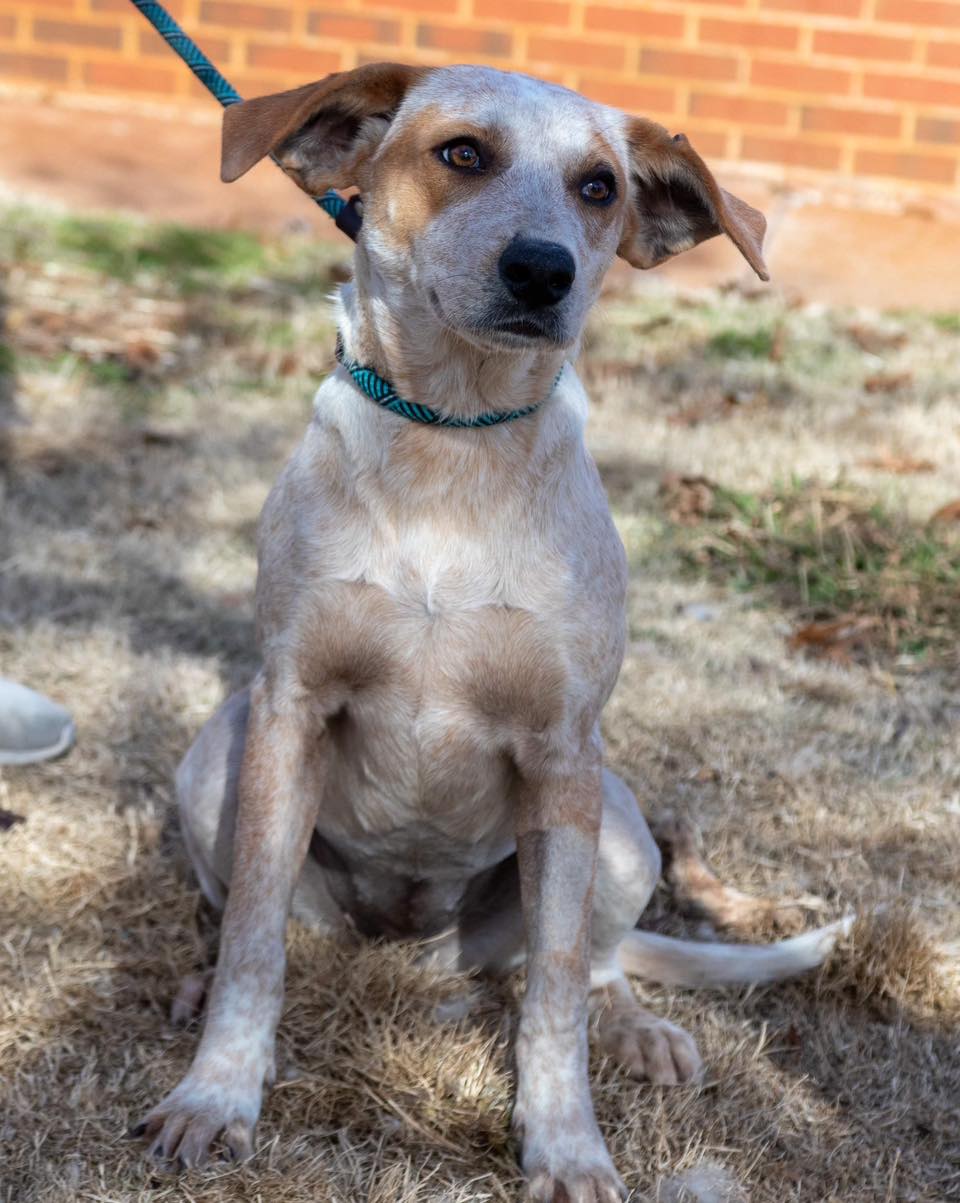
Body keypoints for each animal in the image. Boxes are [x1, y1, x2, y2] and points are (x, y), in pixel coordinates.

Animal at [133, 68, 851, 1203]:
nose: (543, 270)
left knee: (591, 966)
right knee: (255, 909)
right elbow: (252, 937)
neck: (451, 447)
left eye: (599, 186)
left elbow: (552, 992)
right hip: (219, 755)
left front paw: (567, 1148)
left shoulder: (562, 756)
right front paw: (216, 1094)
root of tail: (416, 945)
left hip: (621, 825)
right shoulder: (290, 707)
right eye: (462, 154)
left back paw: (637, 1030)